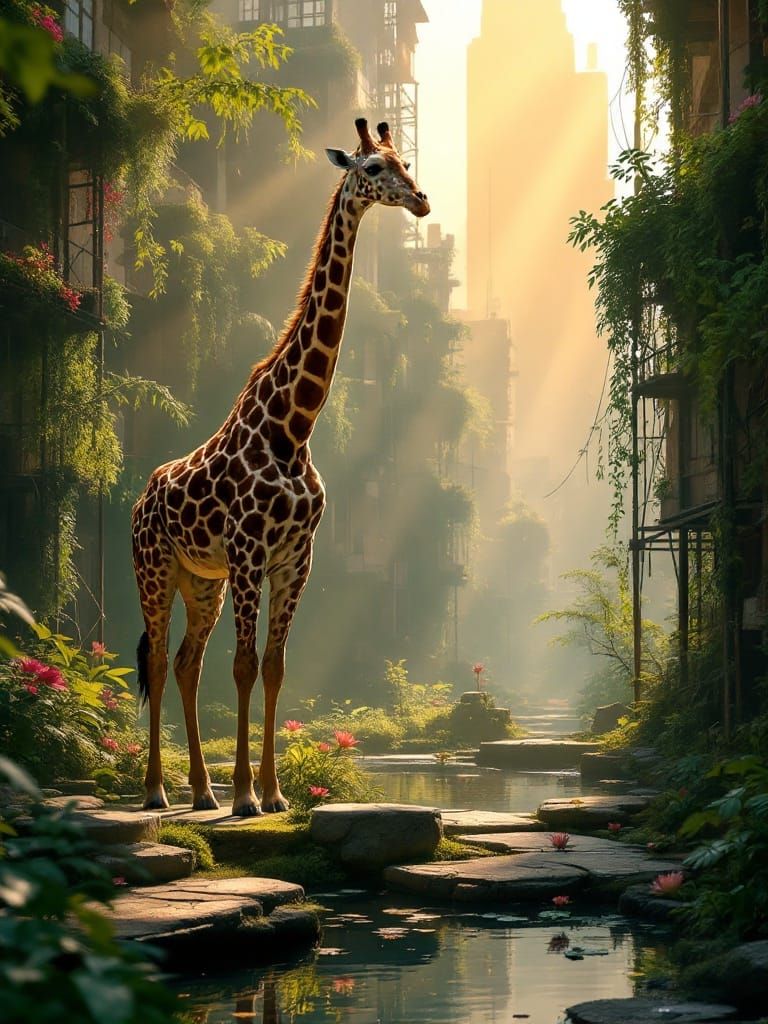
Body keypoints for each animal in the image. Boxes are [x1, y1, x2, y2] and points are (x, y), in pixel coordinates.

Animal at [131, 118, 430, 816]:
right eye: (373, 169)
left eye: (404, 161)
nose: (421, 201)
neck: (293, 427)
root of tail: (138, 498)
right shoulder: (249, 551)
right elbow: (243, 666)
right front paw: (246, 795)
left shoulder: (296, 557)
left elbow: (273, 667)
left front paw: (272, 794)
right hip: (155, 571)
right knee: (157, 661)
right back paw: (158, 789)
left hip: (202, 582)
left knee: (186, 664)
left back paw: (200, 792)